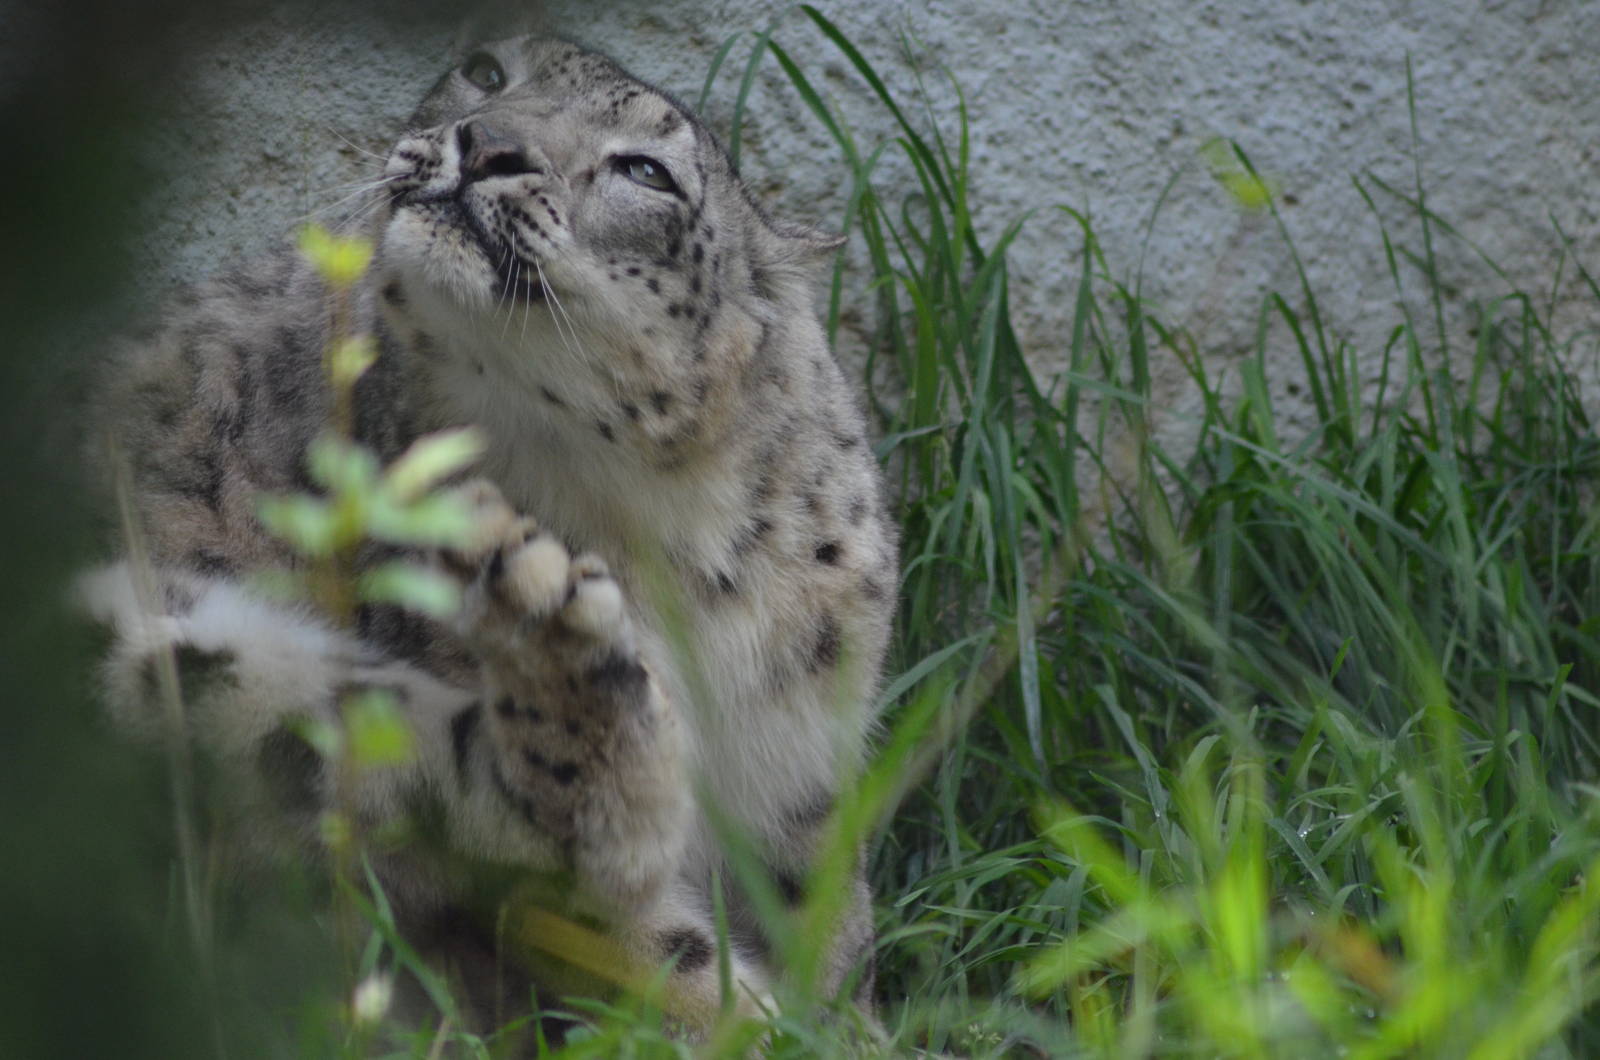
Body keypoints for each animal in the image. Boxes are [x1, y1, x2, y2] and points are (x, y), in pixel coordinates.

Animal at [77, 33, 896, 1041]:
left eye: (646, 171)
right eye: (490, 68)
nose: (488, 144)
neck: (668, 533)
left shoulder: (810, 771)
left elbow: (831, 932)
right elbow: (675, 967)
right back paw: (560, 642)